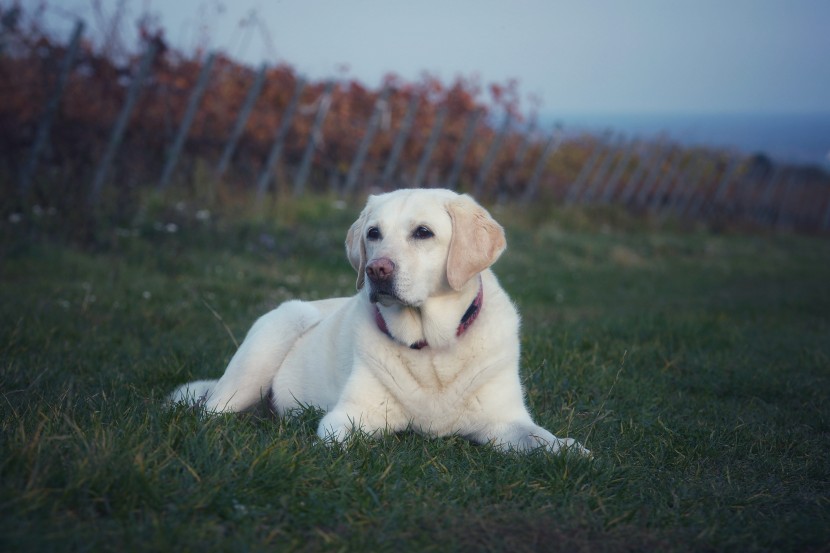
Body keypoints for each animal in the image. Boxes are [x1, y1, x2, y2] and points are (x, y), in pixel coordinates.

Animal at [169, 188, 588, 454]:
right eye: (373, 233)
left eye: (423, 232)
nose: (376, 270)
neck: (431, 347)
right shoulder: (346, 419)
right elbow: (363, 438)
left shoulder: (505, 421)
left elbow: (542, 440)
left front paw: (569, 448)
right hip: (274, 335)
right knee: (211, 411)